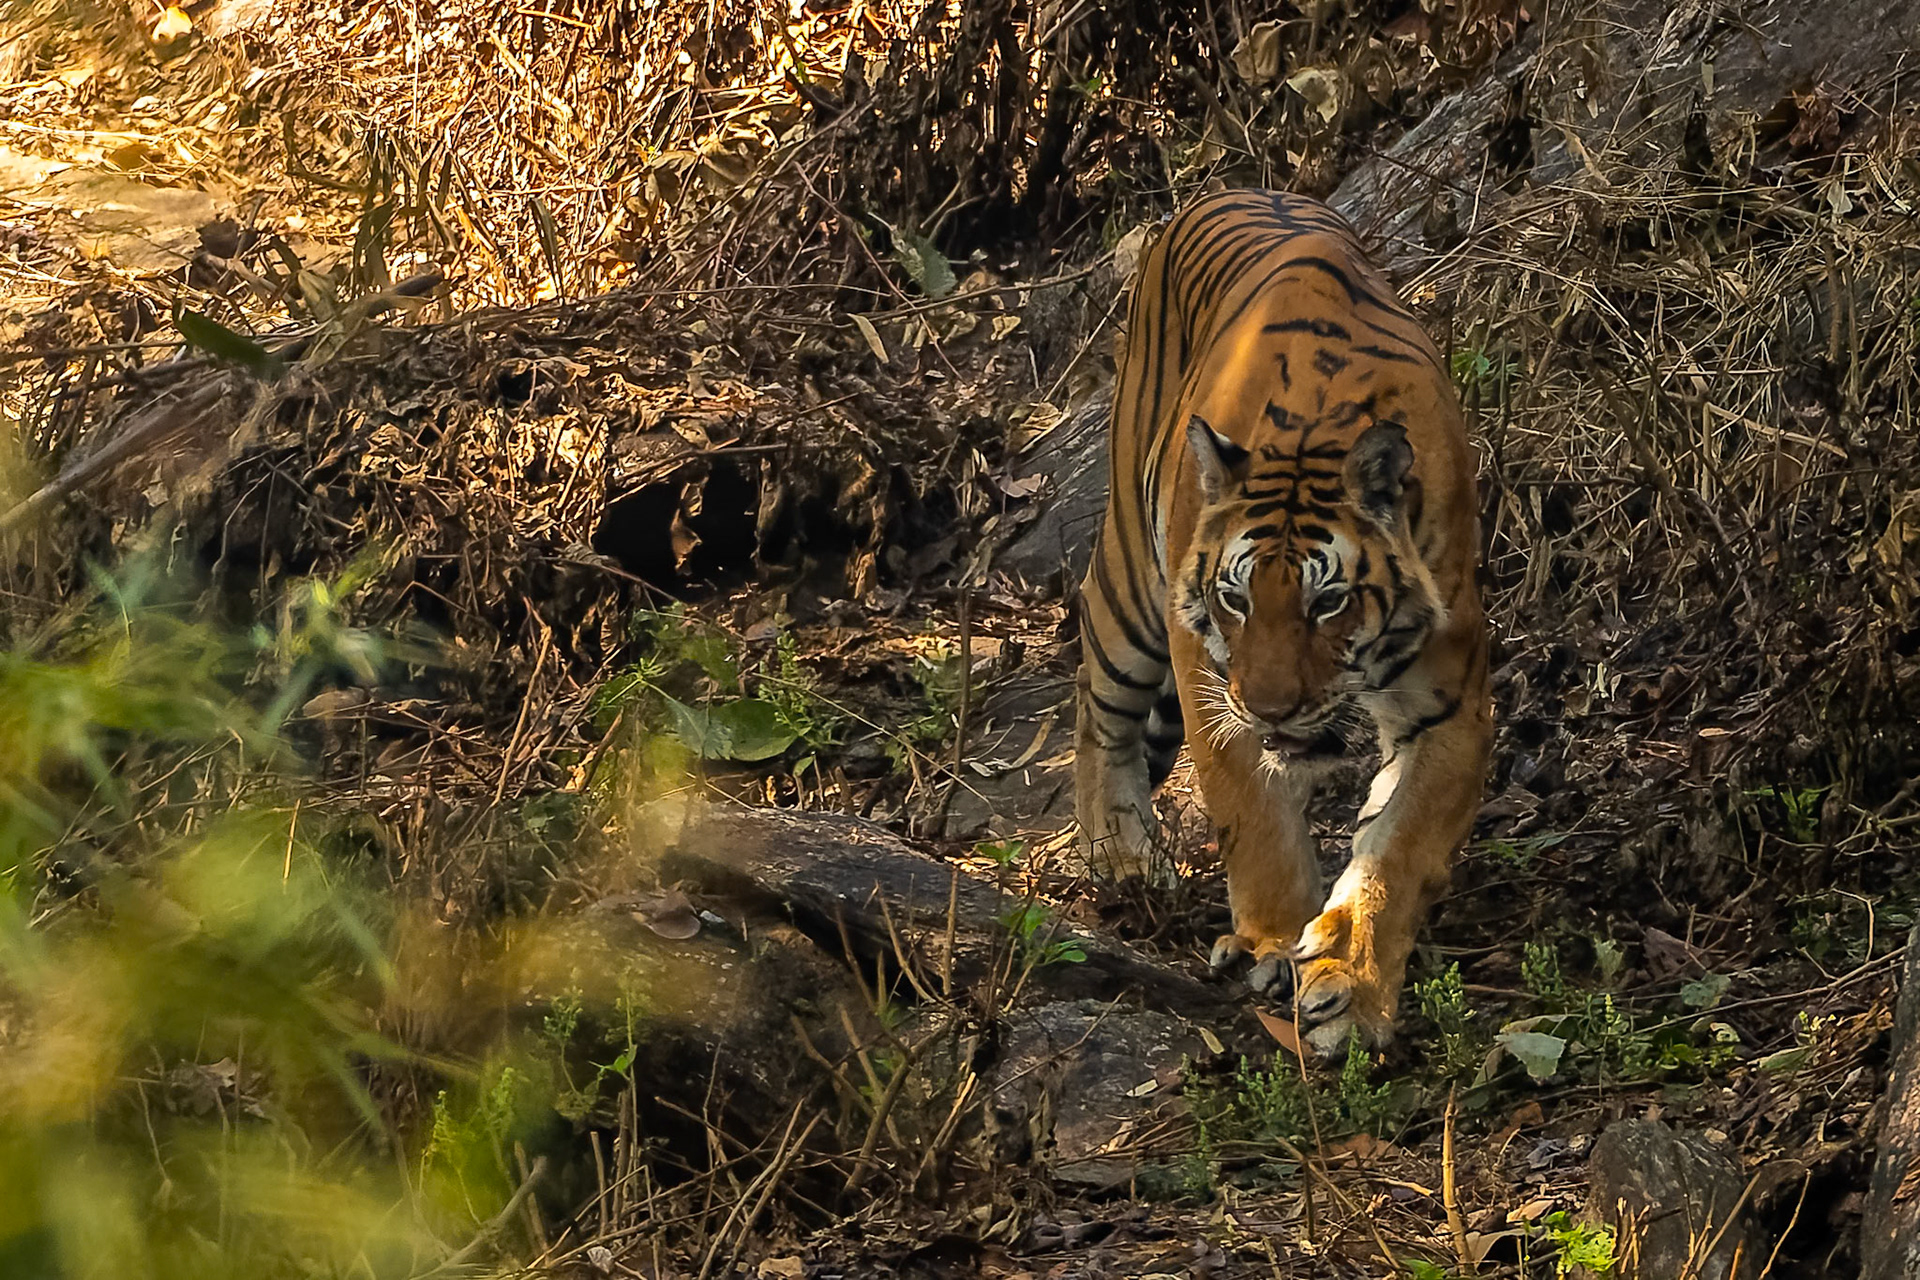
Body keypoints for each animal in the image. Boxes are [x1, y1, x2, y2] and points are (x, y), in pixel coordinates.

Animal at [1073, 188, 1493, 1059]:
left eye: (1326, 603)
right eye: (1237, 600)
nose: (1269, 706)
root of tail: (1228, 188)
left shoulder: (1451, 709)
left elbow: (1398, 848)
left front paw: (1350, 985)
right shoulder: (1207, 672)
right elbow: (1251, 812)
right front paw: (1271, 941)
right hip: (1130, 583)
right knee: (1099, 704)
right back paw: (1121, 853)